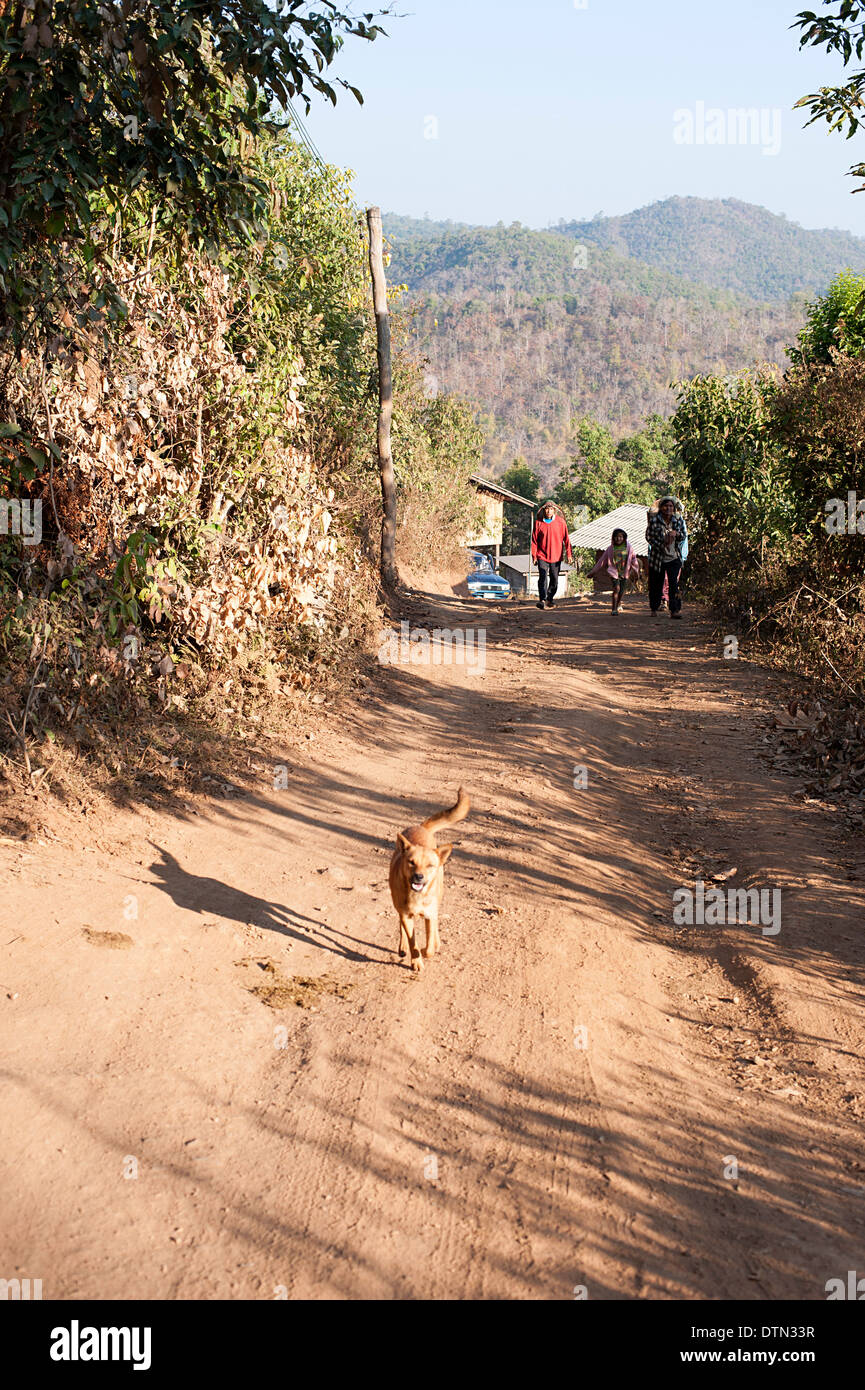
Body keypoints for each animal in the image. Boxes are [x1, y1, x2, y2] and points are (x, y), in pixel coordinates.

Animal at [392, 789, 470, 973]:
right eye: (411, 862)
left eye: (429, 865)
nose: (419, 877)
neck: (417, 896)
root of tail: (421, 827)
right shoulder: (406, 915)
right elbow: (412, 940)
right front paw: (416, 960)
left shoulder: (429, 915)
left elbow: (428, 948)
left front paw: (427, 950)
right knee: (401, 926)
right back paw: (402, 947)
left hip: (437, 900)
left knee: (435, 924)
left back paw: (436, 942)